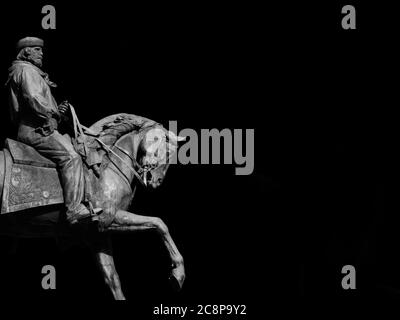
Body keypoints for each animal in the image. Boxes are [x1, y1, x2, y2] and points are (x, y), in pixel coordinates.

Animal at [0, 114, 186, 300]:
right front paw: (178, 273)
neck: (106, 166)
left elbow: (113, 279)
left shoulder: (96, 234)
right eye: (167, 152)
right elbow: (159, 223)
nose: (157, 181)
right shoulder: (108, 218)